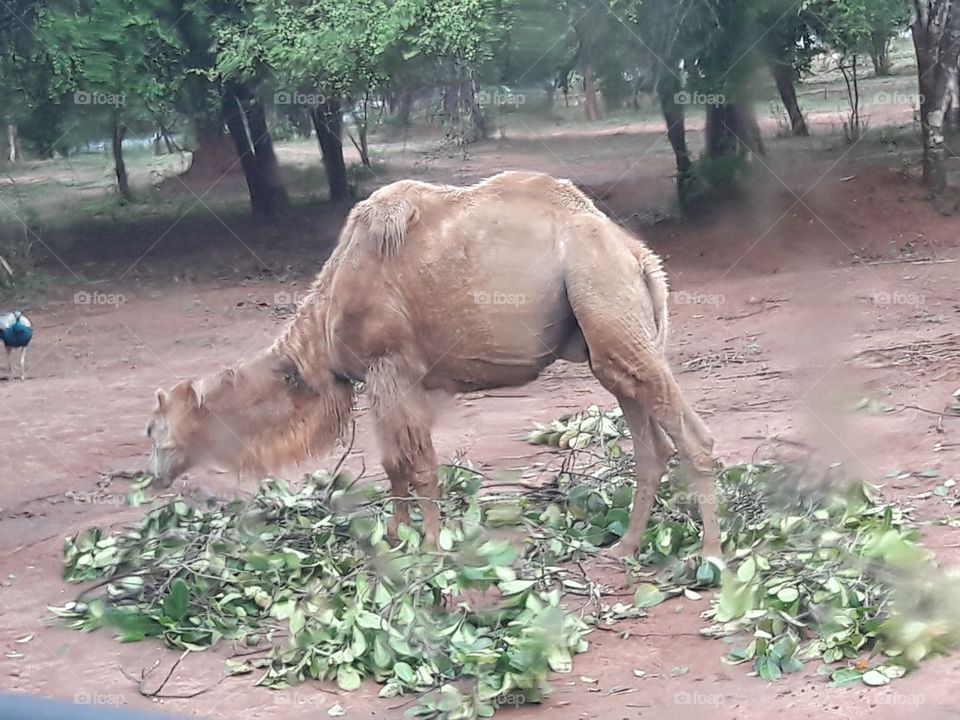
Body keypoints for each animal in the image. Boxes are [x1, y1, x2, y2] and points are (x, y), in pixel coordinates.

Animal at [146, 171, 720, 559]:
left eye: (154, 429)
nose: (149, 476)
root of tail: (638, 256)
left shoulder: (390, 367)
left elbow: (417, 463)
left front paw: (429, 545)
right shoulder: (394, 379)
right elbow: (392, 462)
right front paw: (394, 536)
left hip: (603, 292)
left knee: (693, 437)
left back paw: (711, 557)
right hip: (610, 336)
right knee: (649, 439)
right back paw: (625, 548)